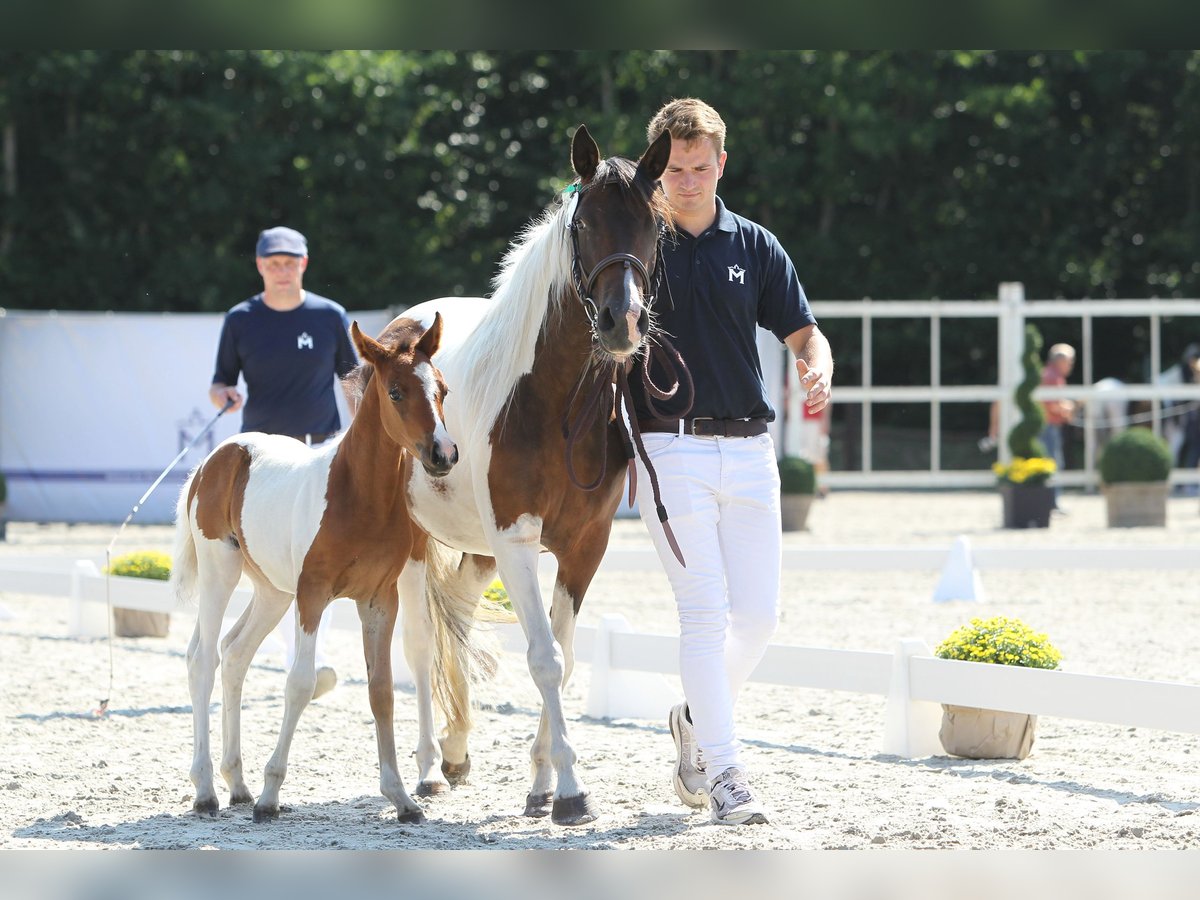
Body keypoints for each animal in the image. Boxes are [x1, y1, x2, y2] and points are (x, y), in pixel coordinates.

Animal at [175, 312, 456, 825]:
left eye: (442, 388)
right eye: (396, 392)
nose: (443, 454)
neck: (358, 495)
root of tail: (212, 459)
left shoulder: (378, 599)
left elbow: (381, 690)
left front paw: (401, 798)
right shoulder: (313, 594)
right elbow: (300, 684)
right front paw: (271, 796)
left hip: (272, 591)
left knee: (235, 653)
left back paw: (237, 783)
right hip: (220, 571)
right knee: (203, 658)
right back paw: (206, 790)